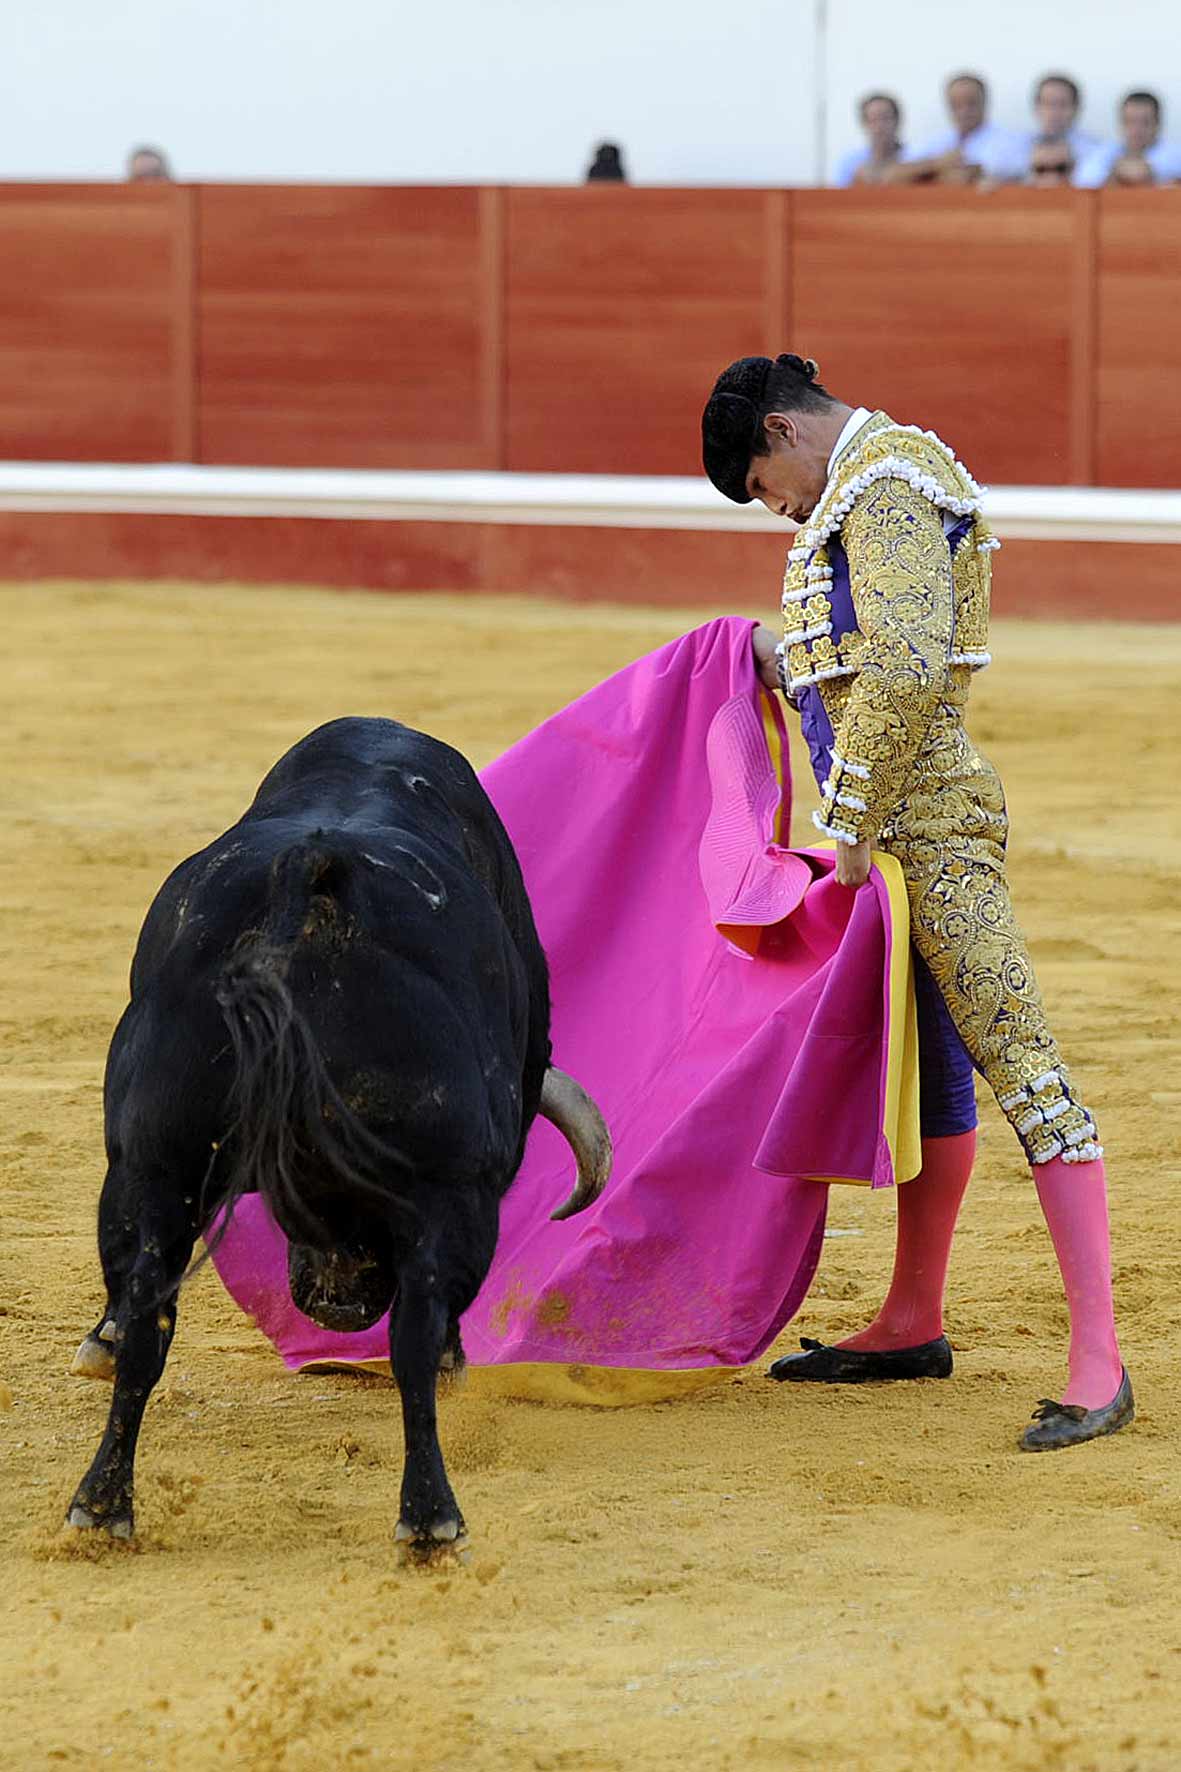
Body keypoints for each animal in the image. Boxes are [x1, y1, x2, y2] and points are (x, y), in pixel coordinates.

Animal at [69, 712, 610, 1545]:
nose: (338, 1301)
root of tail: (312, 880)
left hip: (154, 1162)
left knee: (145, 1314)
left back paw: (101, 1508)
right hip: (444, 1184)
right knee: (415, 1334)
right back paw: (431, 1520)